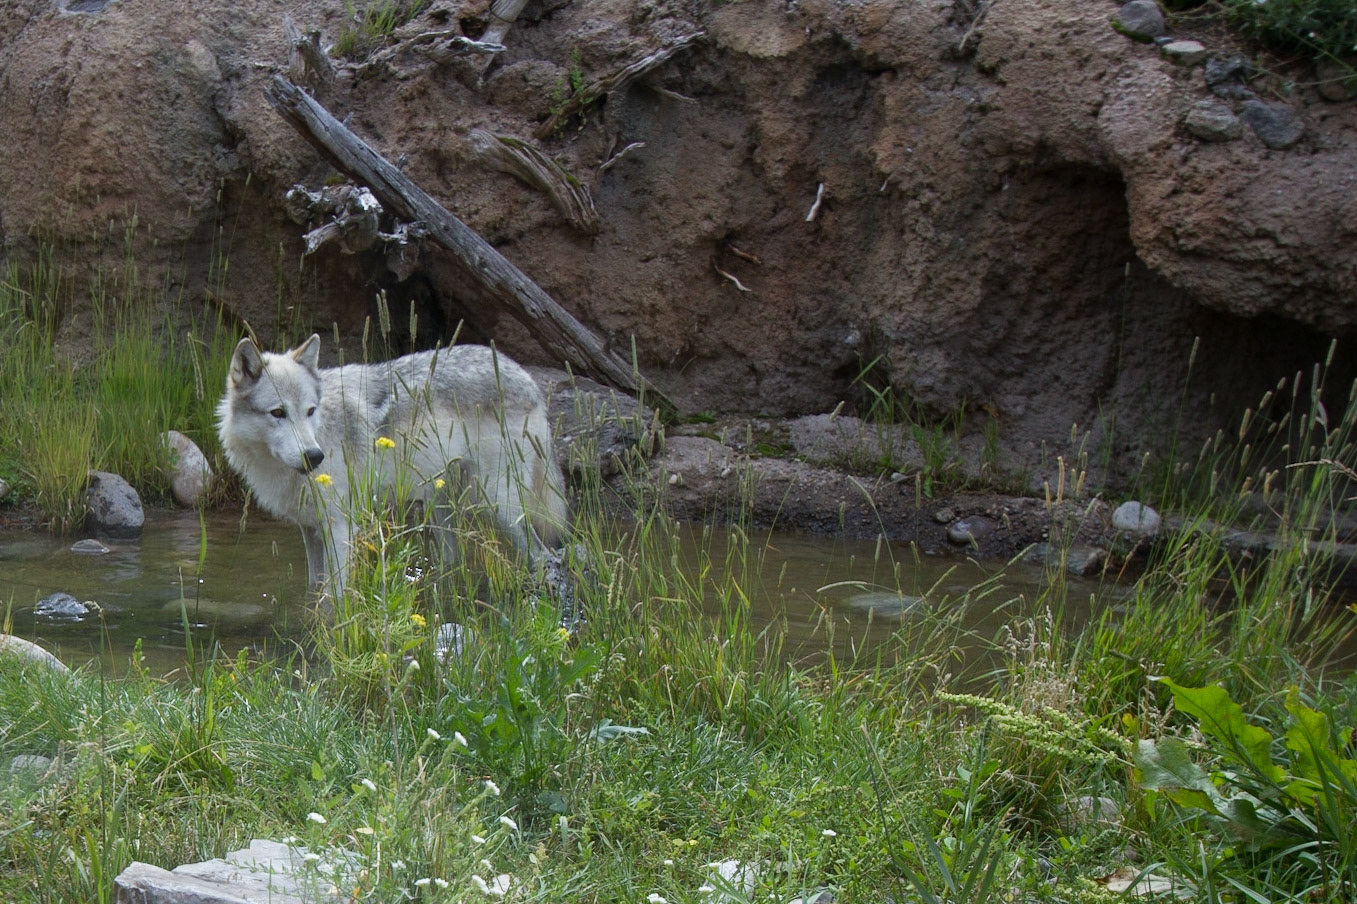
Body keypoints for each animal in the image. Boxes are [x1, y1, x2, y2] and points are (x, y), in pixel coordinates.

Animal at [216, 334, 567, 595]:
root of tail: (524, 376)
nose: (314, 456)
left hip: (496, 505)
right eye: (278, 413)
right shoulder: (310, 529)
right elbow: (314, 591)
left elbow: (335, 597)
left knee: (546, 556)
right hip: (443, 511)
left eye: (310, 411)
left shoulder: (340, 527)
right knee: (454, 563)